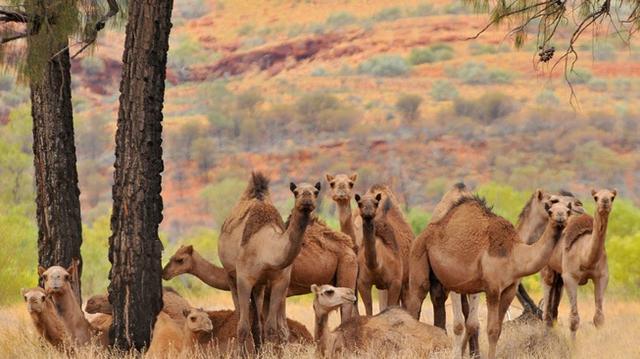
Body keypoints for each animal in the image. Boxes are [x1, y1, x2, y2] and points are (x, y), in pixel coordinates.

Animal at [219, 174, 318, 354]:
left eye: (316, 191)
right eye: (296, 192)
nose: (307, 198)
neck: (267, 249)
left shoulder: (280, 281)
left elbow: (271, 327)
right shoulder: (244, 279)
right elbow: (242, 326)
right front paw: (243, 354)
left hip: (260, 285)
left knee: (258, 321)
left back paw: (258, 350)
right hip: (230, 275)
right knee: (240, 316)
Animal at [408, 195, 572, 358]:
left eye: (568, 211)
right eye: (550, 211)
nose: (560, 217)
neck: (514, 253)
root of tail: (422, 234)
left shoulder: (510, 289)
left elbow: (497, 330)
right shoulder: (492, 288)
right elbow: (492, 330)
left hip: (443, 281)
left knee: (440, 301)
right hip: (419, 257)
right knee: (415, 302)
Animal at [544, 190, 616, 338]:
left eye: (612, 197)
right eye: (596, 197)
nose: (605, 202)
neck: (585, 256)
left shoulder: (602, 277)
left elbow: (599, 318)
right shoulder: (570, 277)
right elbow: (574, 319)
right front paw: (573, 344)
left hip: (559, 276)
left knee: (554, 306)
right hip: (548, 268)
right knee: (547, 299)